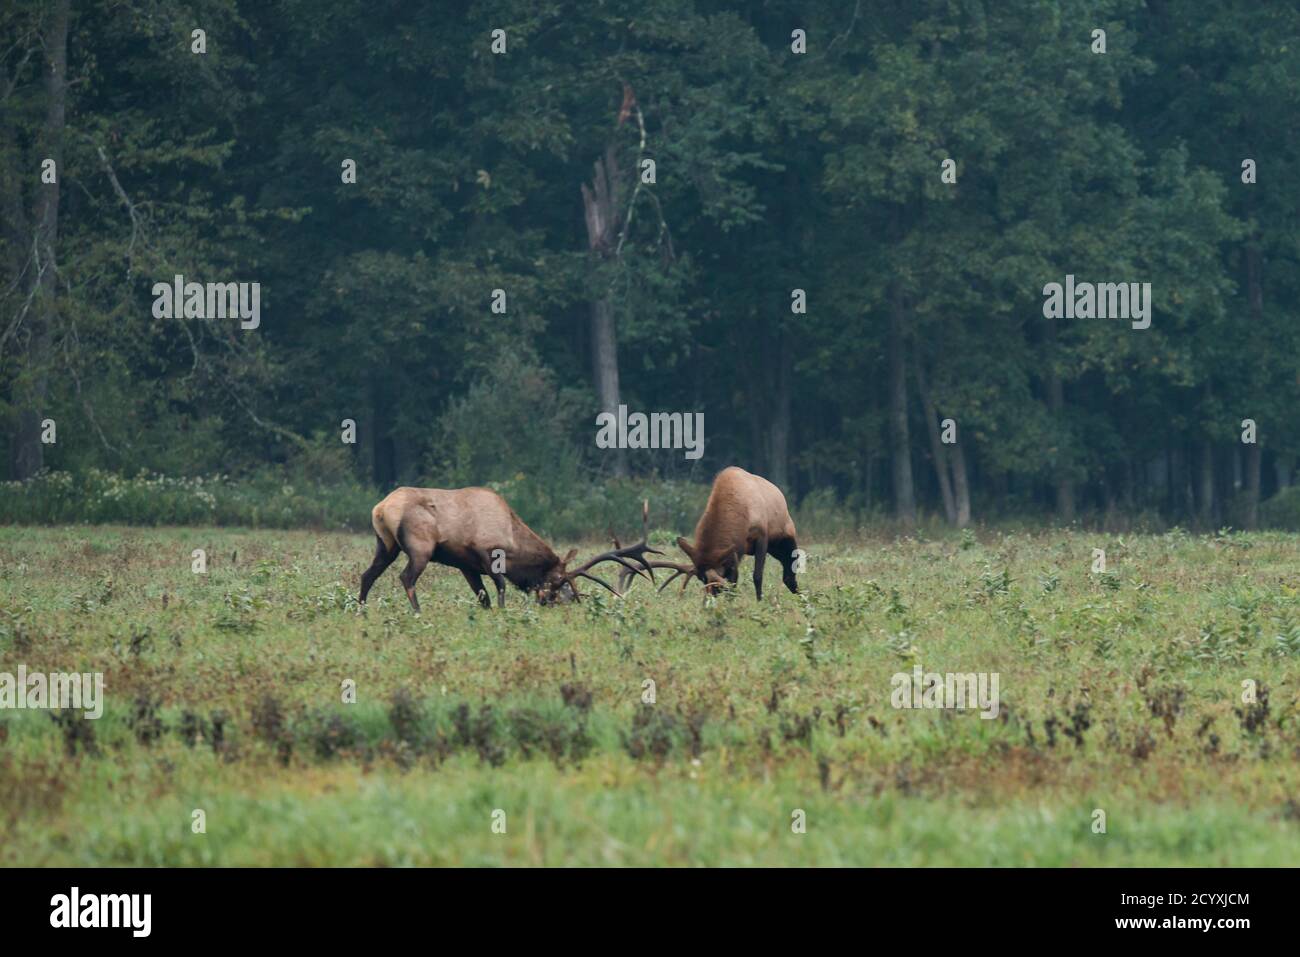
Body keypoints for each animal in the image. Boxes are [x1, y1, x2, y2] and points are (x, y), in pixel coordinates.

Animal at [358, 486, 655, 613]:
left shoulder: (466, 565)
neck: (513, 539)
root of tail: (381, 508)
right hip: (420, 548)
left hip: (386, 545)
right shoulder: (486, 552)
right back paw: (418, 612)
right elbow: (500, 586)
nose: (571, 601)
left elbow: (483, 596)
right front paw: (503, 613)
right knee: (406, 577)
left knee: (367, 575)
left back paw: (361, 610)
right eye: (559, 581)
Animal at [634, 465, 795, 598]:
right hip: (774, 548)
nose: (712, 597)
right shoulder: (734, 552)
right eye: (700, 578)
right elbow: (734, 580)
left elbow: (757, 576)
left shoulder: (762, 536)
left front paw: (758, 601)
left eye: (715, 577)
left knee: (790, 568)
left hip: (785, 537)